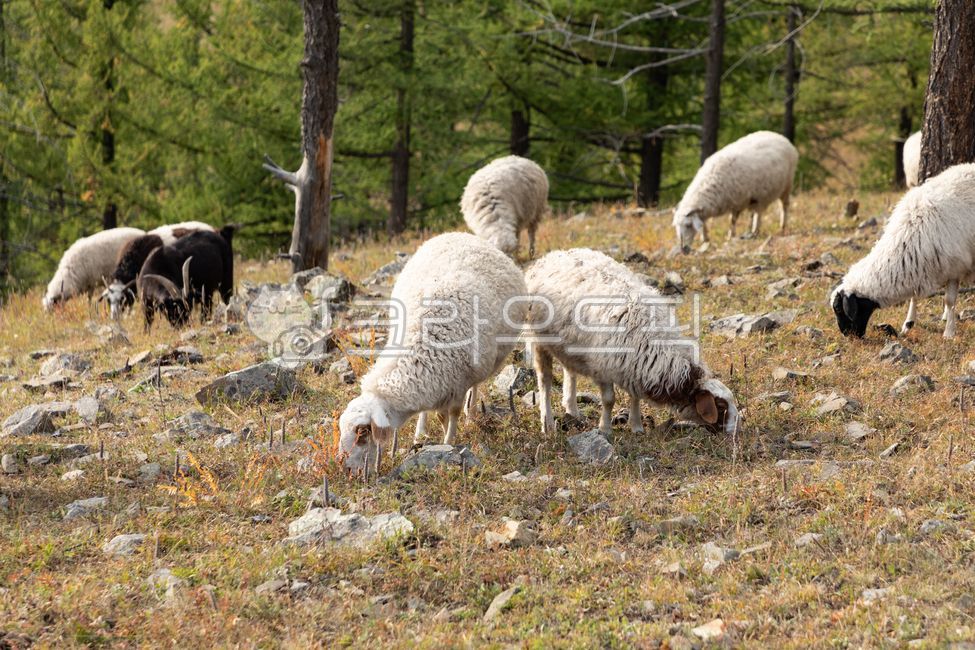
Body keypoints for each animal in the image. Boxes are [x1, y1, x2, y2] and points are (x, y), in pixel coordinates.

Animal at [338, 232, 527, 473]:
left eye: (362, 433)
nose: (346, 470)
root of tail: (459, 234)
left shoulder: (458, 383)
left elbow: (451, 414)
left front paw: (449, 443)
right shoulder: (437, 381)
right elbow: (437, 414)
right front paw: (429, 436)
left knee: (475, 388)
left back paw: (471, 414)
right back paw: (421, 431)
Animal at [524, 248, 739, 436]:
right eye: (720, 406)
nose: (734, 433)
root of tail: (553, 255)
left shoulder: (635, 367)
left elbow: (635, 397)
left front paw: (636, 427)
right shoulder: (603, 368)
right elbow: (609, 400)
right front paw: (605, 429)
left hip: (570, 347)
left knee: (570, 372)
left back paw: (572, 410)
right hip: (539, 340)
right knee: (545, 382)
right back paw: (547, 424)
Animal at [831, 163, 975, 339]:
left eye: (839, 308)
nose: (846, 335)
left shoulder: (955, 266)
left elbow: (949, 300)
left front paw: (948, 333)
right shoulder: (919, 264)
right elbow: (914, 296)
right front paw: (908, 324)